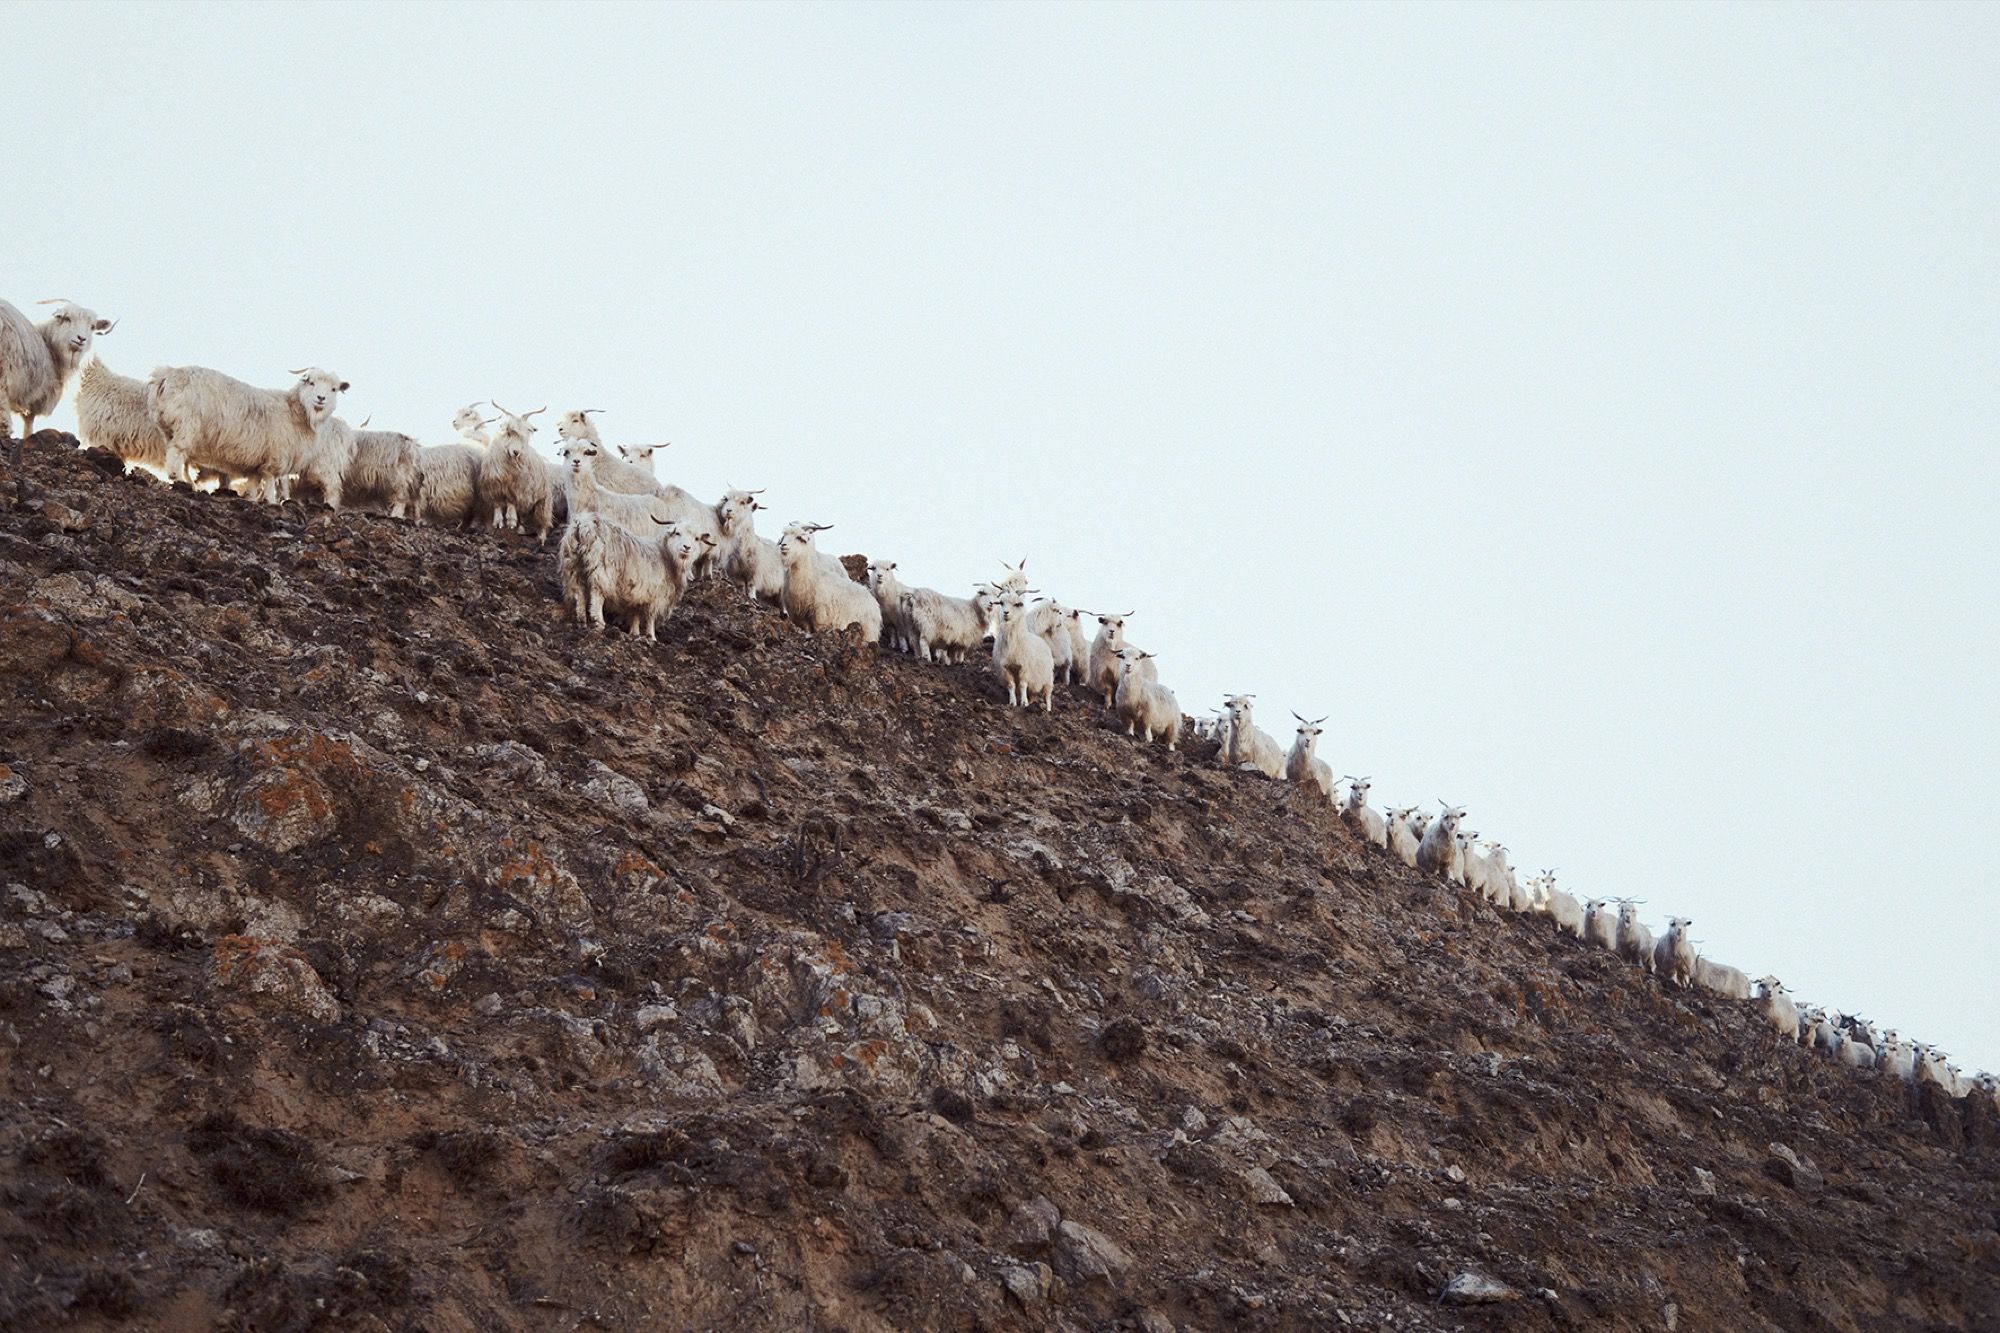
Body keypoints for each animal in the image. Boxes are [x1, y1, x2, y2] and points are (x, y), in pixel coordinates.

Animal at [0, 298, 114, 443]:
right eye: (67, 319)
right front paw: (27, 436)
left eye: (92, 327)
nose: (81, 339)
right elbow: (29, 421)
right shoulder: (38, 395)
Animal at [149, 365, 348, 504]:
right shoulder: (275, 457)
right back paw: (179, 481)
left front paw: (252, 499)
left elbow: (253, 484)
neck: (295, 411)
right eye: (311, 382)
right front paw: (271, 502)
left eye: (334, 389)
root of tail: (166, 374)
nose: (321, 399)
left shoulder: (256, 463)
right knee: (176, 454)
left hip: (169, 428)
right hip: (186, 426)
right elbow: (270, 482)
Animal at [479, 403, 555, 541]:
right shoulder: (493, 486)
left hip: (543, 500)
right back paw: (520, 529)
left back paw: (541, 538)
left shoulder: (516, 488)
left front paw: (510, 522)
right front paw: (498, 523)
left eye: (526, 434)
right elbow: (497, 504)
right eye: (509, 432)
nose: (516, 452)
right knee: (522, 514)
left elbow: (511, 502)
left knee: (542, 520)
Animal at [559, 512, 710, 640]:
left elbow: (635, 613)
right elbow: (650, 617)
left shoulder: (637, 595)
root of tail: (583, 524)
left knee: (578, 591)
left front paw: (635, 633)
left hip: (573, 565)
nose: (687, 547)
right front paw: (651, 637)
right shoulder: (656, 595)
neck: (665, 556)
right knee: (597, 593)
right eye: (677, 533)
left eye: (696, 538)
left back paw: (581, 621)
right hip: (601, 570)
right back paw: (599, 623)